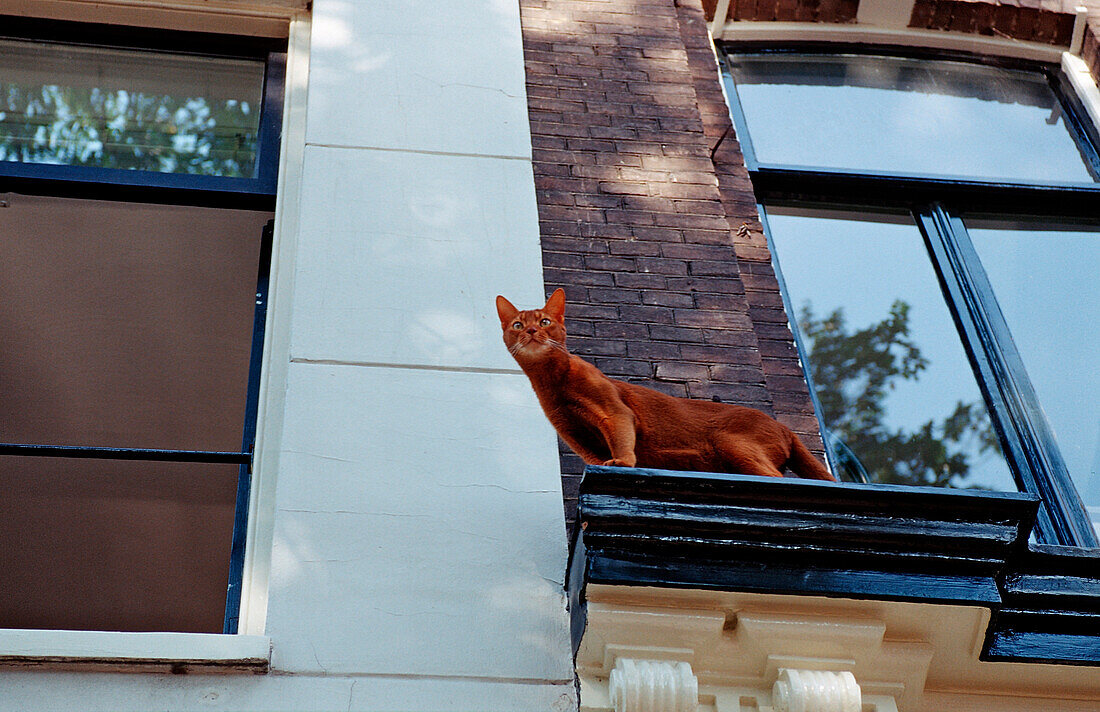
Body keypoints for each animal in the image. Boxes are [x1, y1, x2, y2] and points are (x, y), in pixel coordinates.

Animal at [497, 290, 831, 484]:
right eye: (517, 325)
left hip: (732, 443)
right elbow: (597, 462)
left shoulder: (614, 412)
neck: (552, 381)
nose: (530, 331)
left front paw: (623, 462)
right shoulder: (578, 439)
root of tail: (784, 428)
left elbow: (622, 442)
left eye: (544, 321)